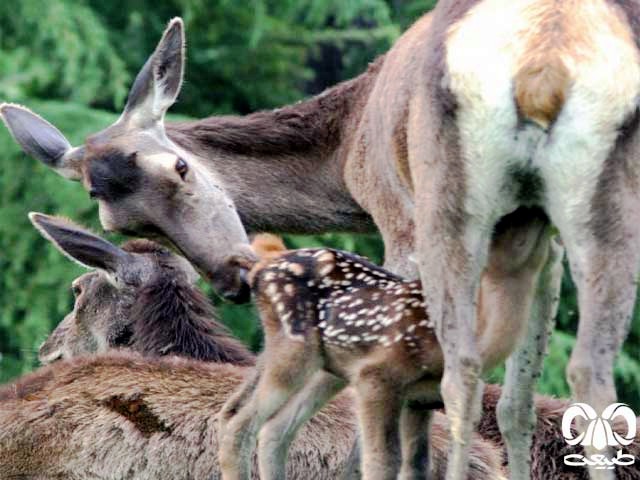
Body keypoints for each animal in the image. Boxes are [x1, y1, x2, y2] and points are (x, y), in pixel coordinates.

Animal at [219, 227, 560, 480]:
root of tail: (265, 262)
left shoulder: (421, 398)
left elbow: (417, 465)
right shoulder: (377, 377)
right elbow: (382, 461)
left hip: (329, 369)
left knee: (273, 429)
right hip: (294, 354)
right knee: (238, 423)